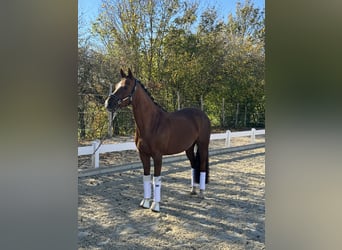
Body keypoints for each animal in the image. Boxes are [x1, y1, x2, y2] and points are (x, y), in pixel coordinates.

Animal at [105, 69, 211, 213]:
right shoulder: (143, 155)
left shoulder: (157, 156)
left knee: (202, 166)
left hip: (203, 145)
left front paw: (155, 205)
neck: (152, 123)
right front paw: (145, 202)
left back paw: (201, 193)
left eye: (126, 86)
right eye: (116, 85)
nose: (108, 103)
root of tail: (203, 115)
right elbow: (146, 177)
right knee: (194, 164)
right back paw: (193, 190)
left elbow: (156, 179)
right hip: (189, 148)